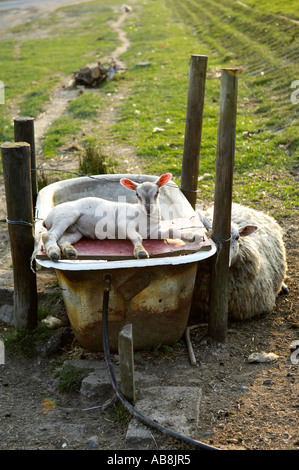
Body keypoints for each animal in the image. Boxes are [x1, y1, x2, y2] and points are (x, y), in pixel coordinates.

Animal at [40, 173, 199, 260]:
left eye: (157, 193)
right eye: (137, 194)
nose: (148, 208)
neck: (145, 218)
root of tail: (47, 218)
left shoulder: (154, 232)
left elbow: (174, 231)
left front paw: (191, 236)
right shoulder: (124, 223)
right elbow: (137, 237)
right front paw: (141, 252)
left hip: (77, 231)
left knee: (63, 239)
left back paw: (70, 251)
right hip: (66, 215)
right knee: (48, 235)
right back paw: (54, 253)